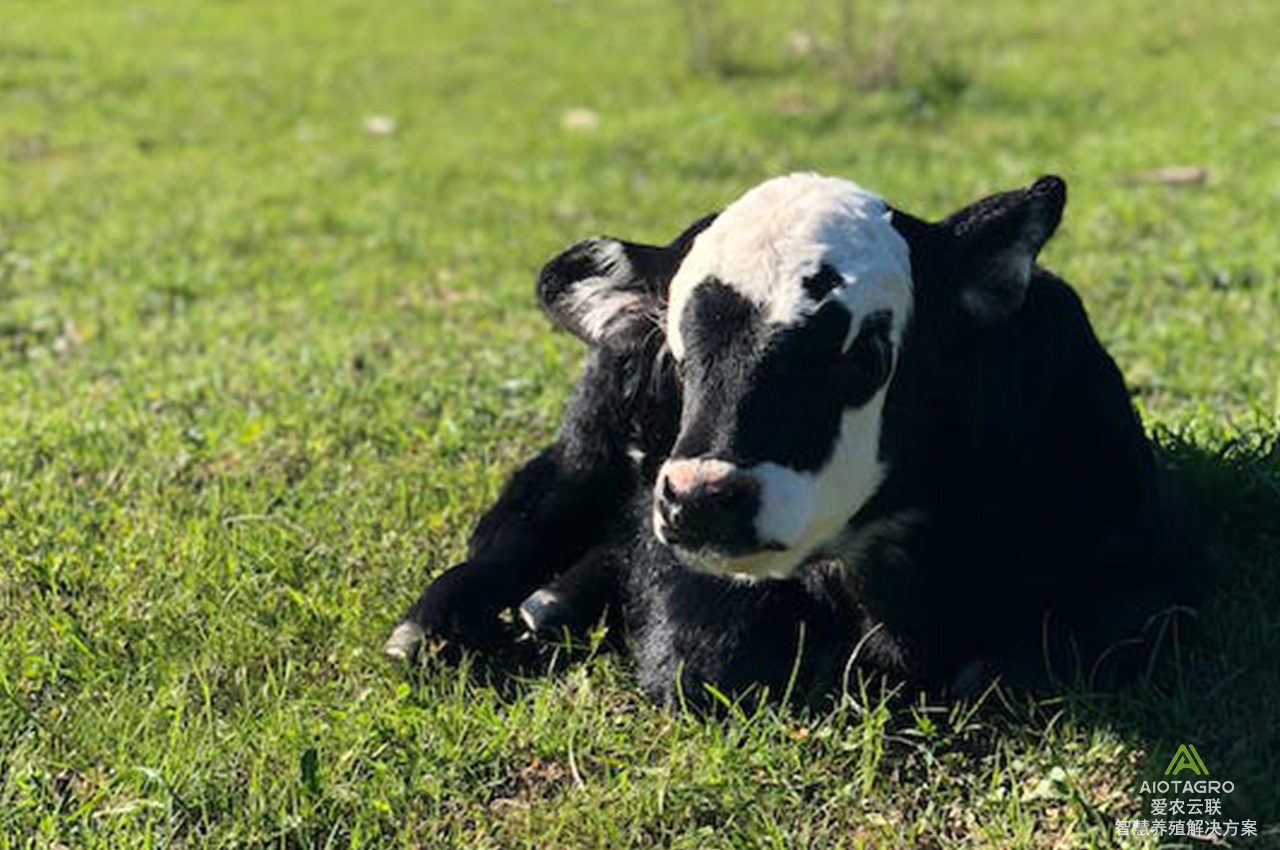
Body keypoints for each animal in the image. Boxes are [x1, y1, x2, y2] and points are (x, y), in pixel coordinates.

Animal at [381, 172, 1198, 701]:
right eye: (677, 354)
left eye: (864, 352)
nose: (701, 500)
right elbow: (699, 663)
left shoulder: (1142, 569)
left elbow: (1044, 656)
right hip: (591, 446)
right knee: (524, 518)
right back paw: (439, 625)